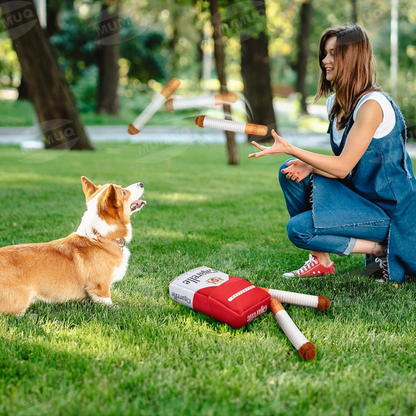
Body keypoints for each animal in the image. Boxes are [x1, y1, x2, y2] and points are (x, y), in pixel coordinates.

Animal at [0, 176, 146, 316]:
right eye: (123, 192)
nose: (141, 183)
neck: (100, 236)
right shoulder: (100, 287)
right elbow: (107, 301)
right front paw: (118, 308)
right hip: (20, 300)